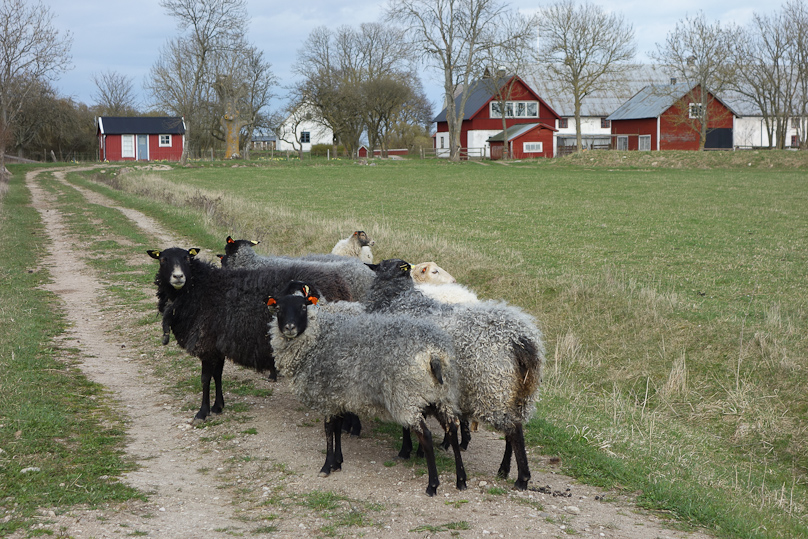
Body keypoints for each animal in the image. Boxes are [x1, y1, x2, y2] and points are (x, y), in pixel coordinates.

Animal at [146, 247, 353, 423]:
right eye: (163, 259)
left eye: (187, 258)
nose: (178, 276)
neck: (201, 289)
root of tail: (340, 284)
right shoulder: (217, 346)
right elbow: (217, 375)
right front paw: (218, 406)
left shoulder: (206, 344)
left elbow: (205, 378)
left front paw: (202, 412)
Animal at [267, 281, 467, 496]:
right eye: (279, 308)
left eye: (303, 307)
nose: (290, 328)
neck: (318, 337)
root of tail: (434, 354)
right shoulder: (338, 396)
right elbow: (337, 428)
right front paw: (338, 462)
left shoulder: (326, 395)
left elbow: (328, 430)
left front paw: (327, 466)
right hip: (441, 396)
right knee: (452, 430)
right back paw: (461, 480)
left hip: (408, 398)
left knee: (427, 436)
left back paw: (432, 485)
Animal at [362, 258, 544, 491]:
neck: (396, 298)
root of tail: (520, 340)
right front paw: (421, 451)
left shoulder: (401, 378)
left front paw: (406, 451)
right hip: (519, 392)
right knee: (514, 429)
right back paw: (504, 470)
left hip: (492, 387)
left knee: (514, 431)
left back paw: (521, 478)